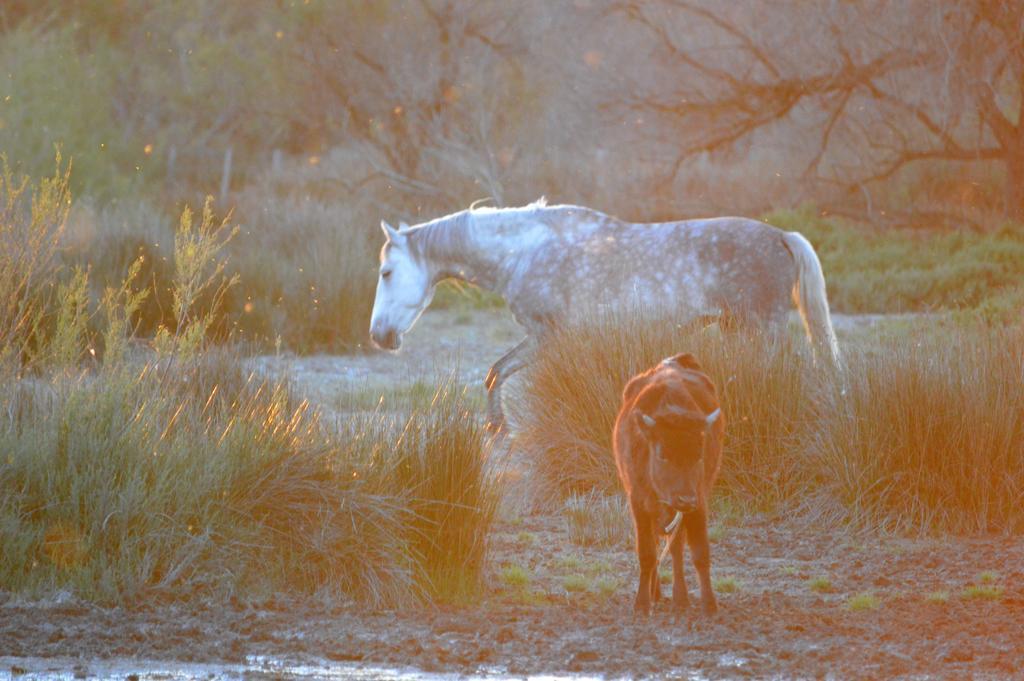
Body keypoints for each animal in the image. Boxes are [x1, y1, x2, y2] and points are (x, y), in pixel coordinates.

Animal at [368, 197, 839, 430]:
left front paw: (500, 426)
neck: (525, 251)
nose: (378, 335)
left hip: (764, 330)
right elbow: (495, 373)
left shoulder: (548, 337)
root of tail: (782, 236)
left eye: (387, 272)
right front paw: (496, 426)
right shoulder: (545, 339)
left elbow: (501, 374)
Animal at [610, 350, 724, 614]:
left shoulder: (698, 503)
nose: (685, 498)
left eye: (699, 454)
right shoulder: (639, 504)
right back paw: (658, 594)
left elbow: (699, 553)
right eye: (662, 454)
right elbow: (646, 553)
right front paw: (642, 604)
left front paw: (709, 604)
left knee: (676, 550)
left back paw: (680, 598)